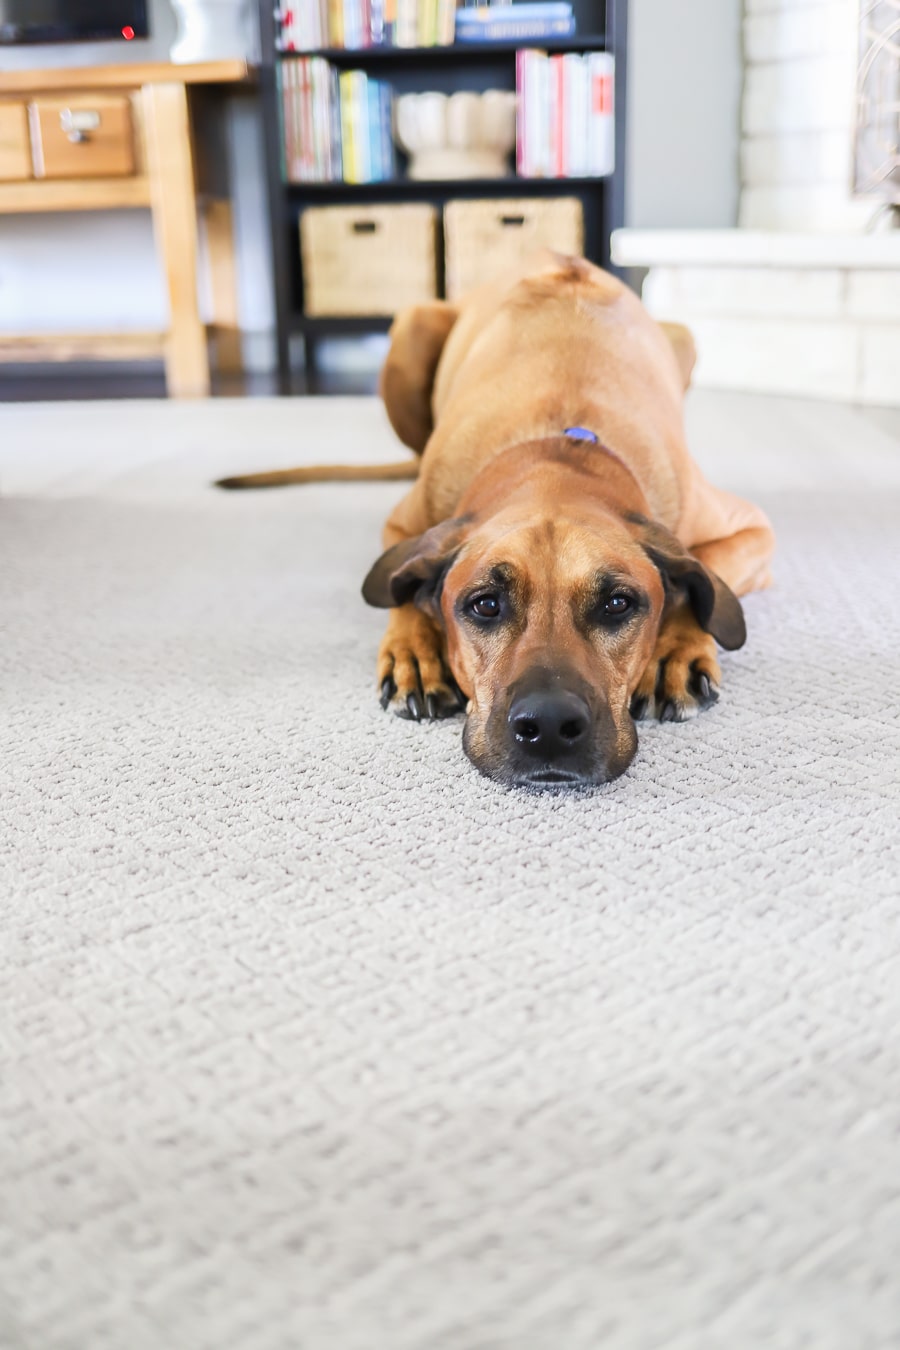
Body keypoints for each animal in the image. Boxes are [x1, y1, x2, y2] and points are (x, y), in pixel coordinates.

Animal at [219, 251, 777, 788]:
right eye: (485, 604)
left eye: (618, 603)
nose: (549, 725)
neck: (556, 453)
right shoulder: (404, 525)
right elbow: (400, 587)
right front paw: (414, 655)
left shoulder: (751, 529)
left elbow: (708, 572)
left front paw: (674, 651)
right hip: (412, 328)